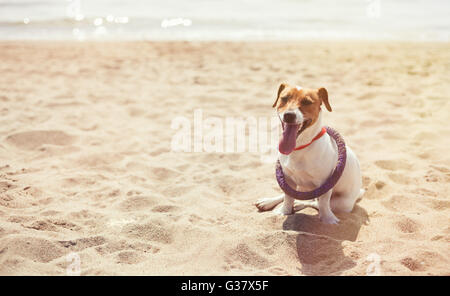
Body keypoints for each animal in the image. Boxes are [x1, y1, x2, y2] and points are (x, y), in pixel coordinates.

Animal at [255, 83, 364, 224]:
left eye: (307, 102)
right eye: (284, 98)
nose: (289, 115)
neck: (300, 147)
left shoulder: (325, 183)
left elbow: (323, 203)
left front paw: (328, 219)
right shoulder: (287, 178)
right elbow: (288, 196)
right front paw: (284, 211)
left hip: (341, 203)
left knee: (314, 203)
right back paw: (268, 202)